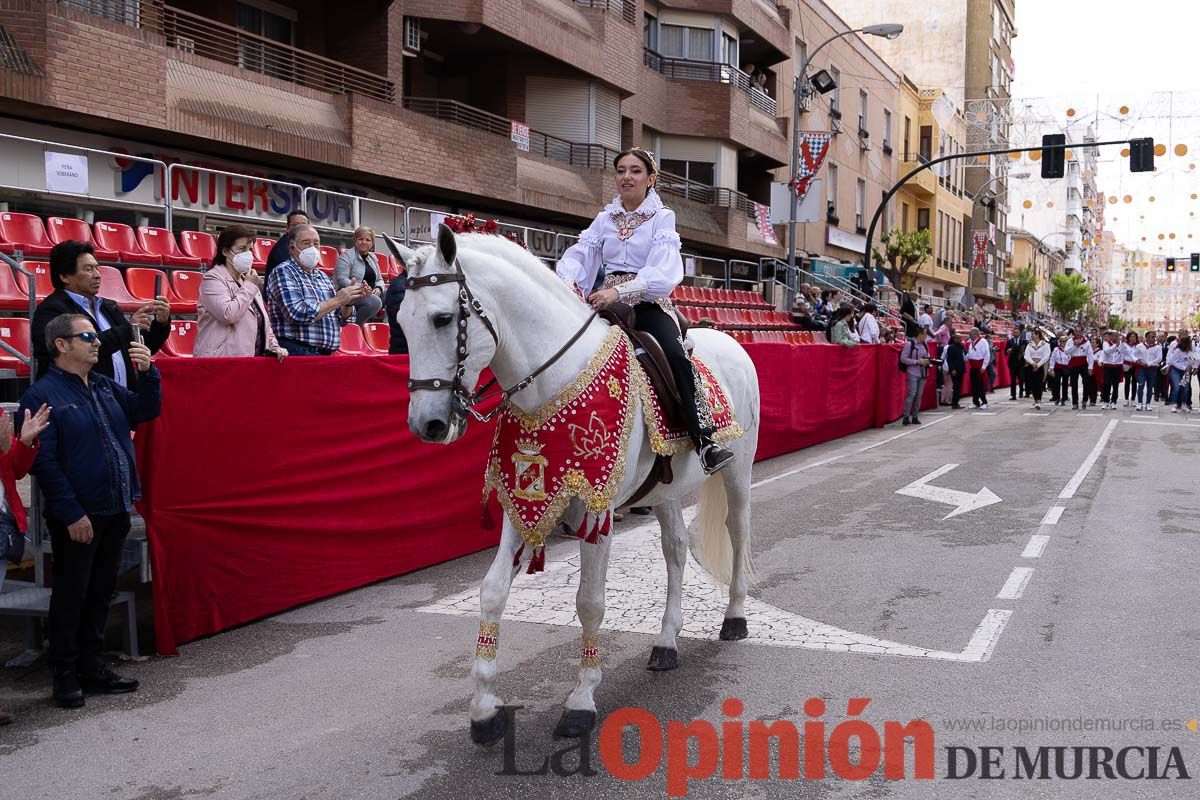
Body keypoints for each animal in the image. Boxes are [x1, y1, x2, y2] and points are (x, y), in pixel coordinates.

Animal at [386, 224, 758, 743]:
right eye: (400, 320)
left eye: (442, 319)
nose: (428, 425)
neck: (554, 379)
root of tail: (732, 342)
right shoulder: (524, 503)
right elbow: (492, 592)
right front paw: (484, 710)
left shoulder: (596, 511)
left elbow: (590, 603)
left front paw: (581, 701)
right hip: (663, 491)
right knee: (676, 551)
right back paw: (666, 641)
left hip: (737, 469)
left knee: (738, 534)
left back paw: (735, 618)